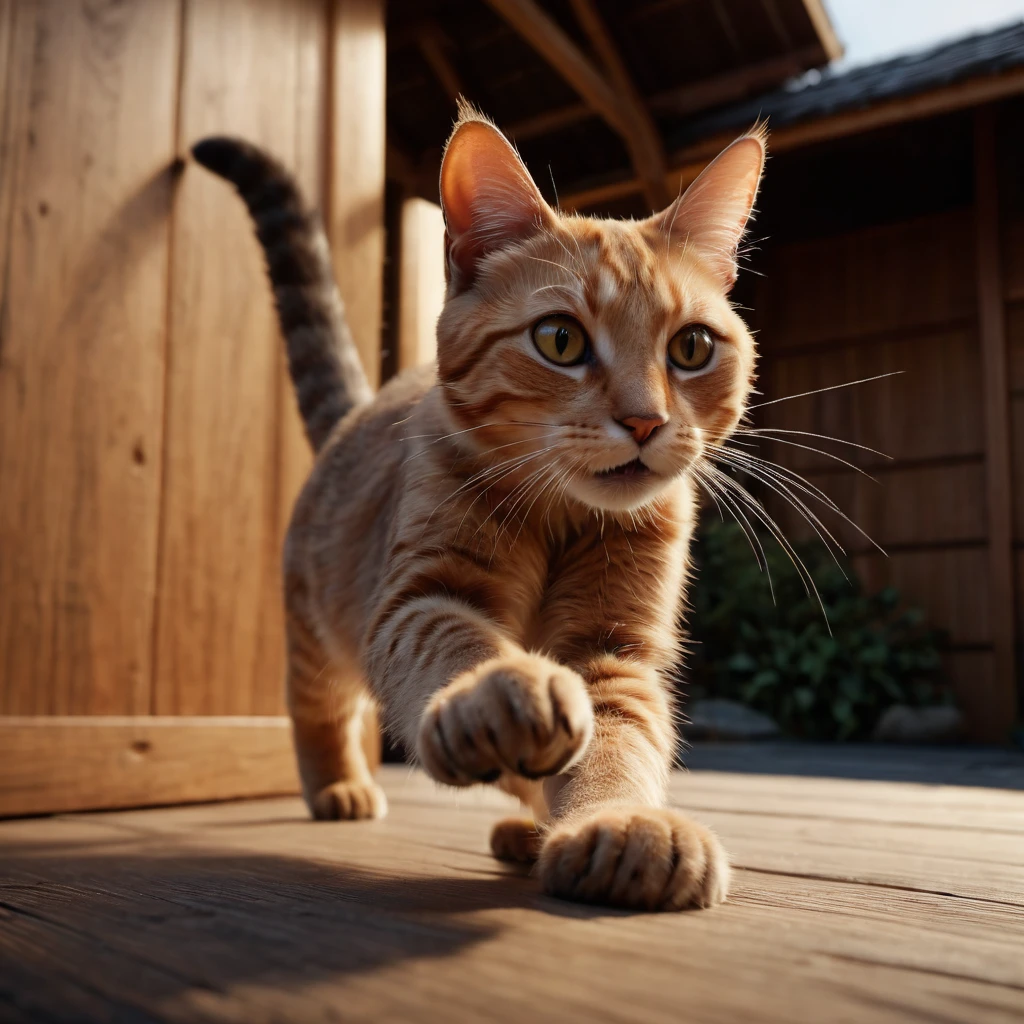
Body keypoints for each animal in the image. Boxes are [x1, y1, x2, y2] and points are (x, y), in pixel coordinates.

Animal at [195, 103, 765, 913]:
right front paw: (498, 694)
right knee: (317, 703)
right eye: (560, 339)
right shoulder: (422, 594)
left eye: (691, 347)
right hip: (315, 623)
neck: (561, 518)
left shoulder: (614, 650)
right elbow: (457, 643)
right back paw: (339, 784)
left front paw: (623, 822)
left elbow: (619, 745)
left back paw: (527, 831)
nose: (646, 421)